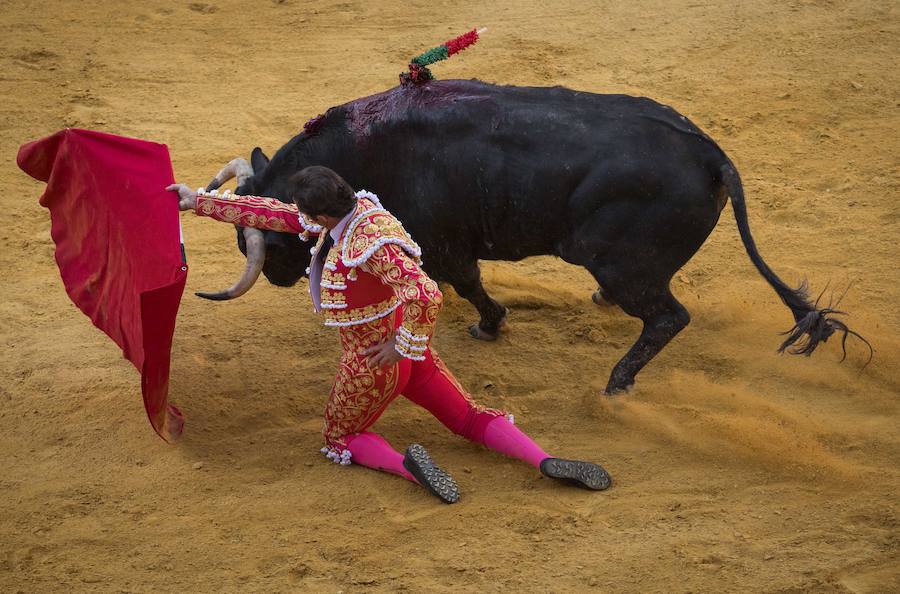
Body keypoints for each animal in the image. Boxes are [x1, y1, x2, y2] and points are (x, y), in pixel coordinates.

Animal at [213, 78, 864, 394]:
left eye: (271, 238)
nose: (276, 277)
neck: (364, 149)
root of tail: (712, 155)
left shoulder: (446, 245)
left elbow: (467, 284)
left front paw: (489, 324)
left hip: (618, 261)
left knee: (667, 317)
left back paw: (616, 384)